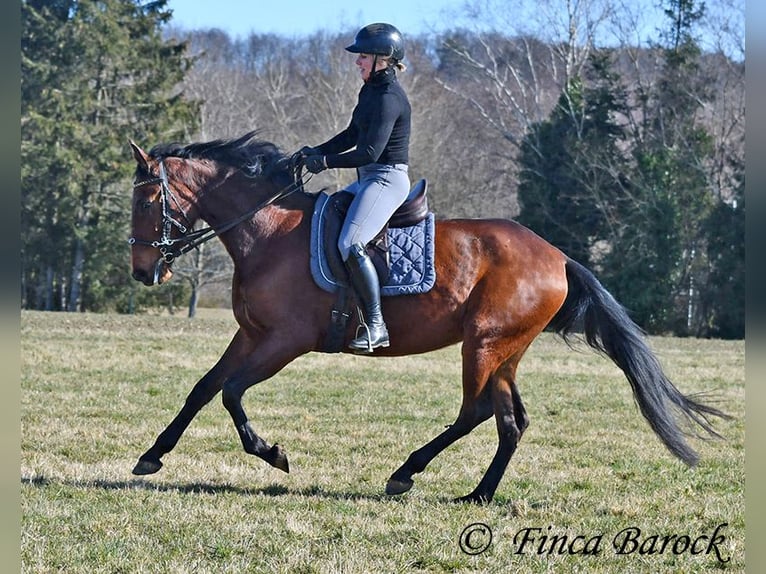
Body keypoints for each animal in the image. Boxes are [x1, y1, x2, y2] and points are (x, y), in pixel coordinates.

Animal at [130, 130, 732, 504]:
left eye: (147, 200)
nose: (142, 271)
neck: (268, 230)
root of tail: (558, 256)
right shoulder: (250, 333)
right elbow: (204, 388)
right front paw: (152, 456)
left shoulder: (285, 340)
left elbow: (232, 393)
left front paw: (272, 454)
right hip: (505, 351)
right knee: (509, 420)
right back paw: (479, 494)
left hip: (483, 344)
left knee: (476, 412)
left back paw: (407, 473)